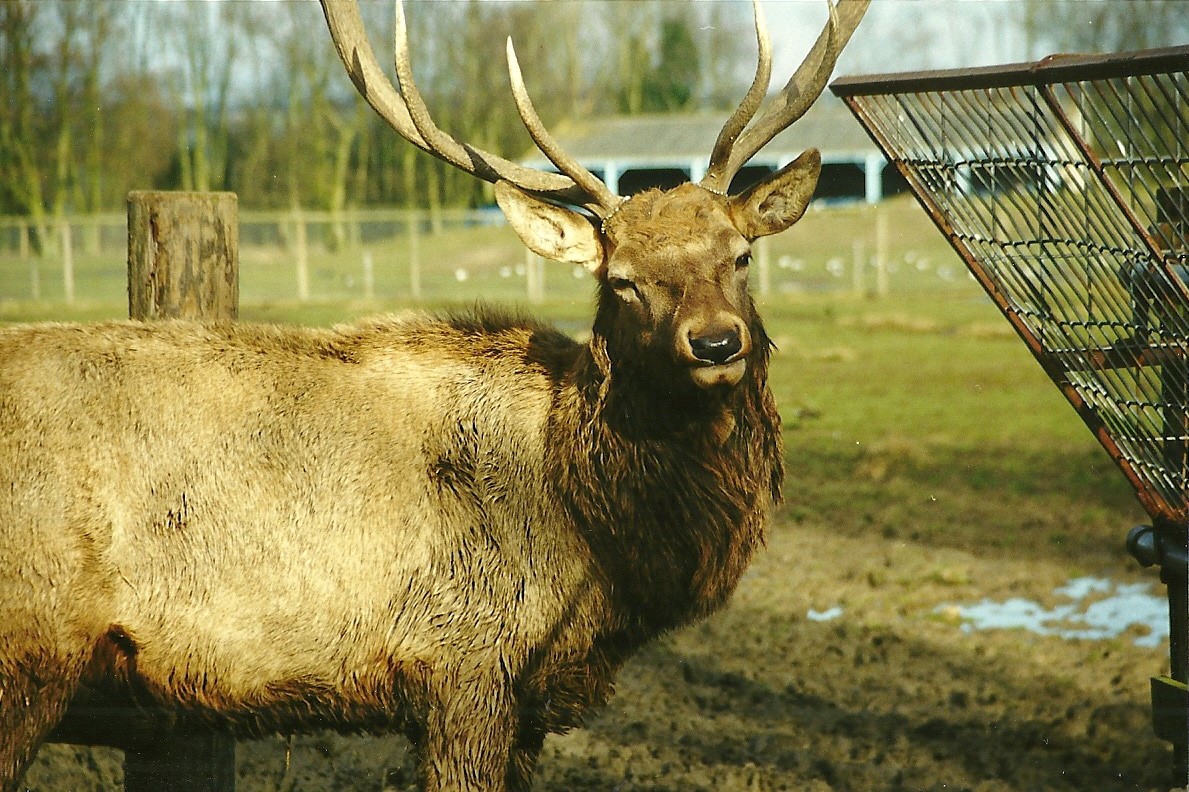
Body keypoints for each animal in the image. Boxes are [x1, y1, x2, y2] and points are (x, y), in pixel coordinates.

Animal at [0, 1, 868, 790]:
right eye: (621, 280)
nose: (716, 343)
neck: (594, 537)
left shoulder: (524, 704)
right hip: (30, 647)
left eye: (741, 254)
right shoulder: (465, 663)